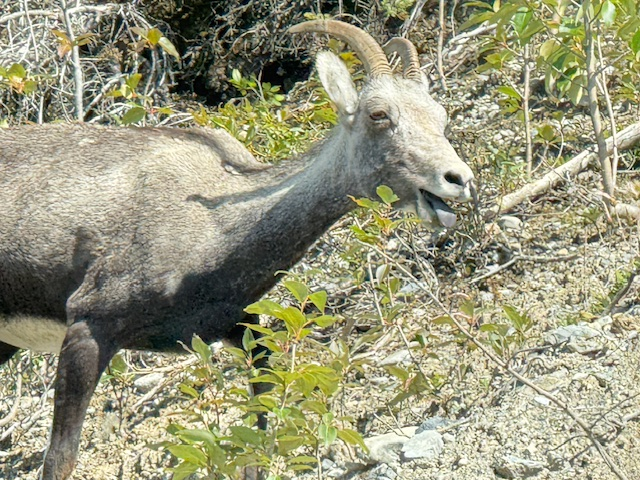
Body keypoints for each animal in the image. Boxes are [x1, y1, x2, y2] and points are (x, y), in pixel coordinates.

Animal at [0, 20, 474, 480]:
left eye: (440, 116)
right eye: (379, 114)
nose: (458, 179)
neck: (213, 229)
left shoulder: (232, 331)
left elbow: (257, 438)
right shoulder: (88, 328)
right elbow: (59, 461)